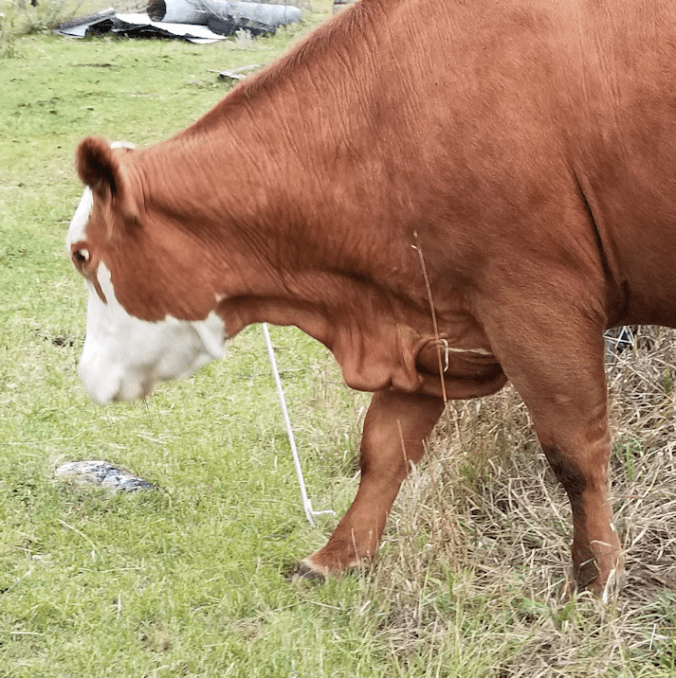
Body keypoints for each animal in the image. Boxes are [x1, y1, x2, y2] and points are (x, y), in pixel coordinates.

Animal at [67, 0, 676, 596]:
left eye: (81, 254)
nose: (87, 375)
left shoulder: (536, 302)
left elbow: (573, 451)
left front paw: (595, 576)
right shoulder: (430, 325)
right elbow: (384, 447)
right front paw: (337, 557)